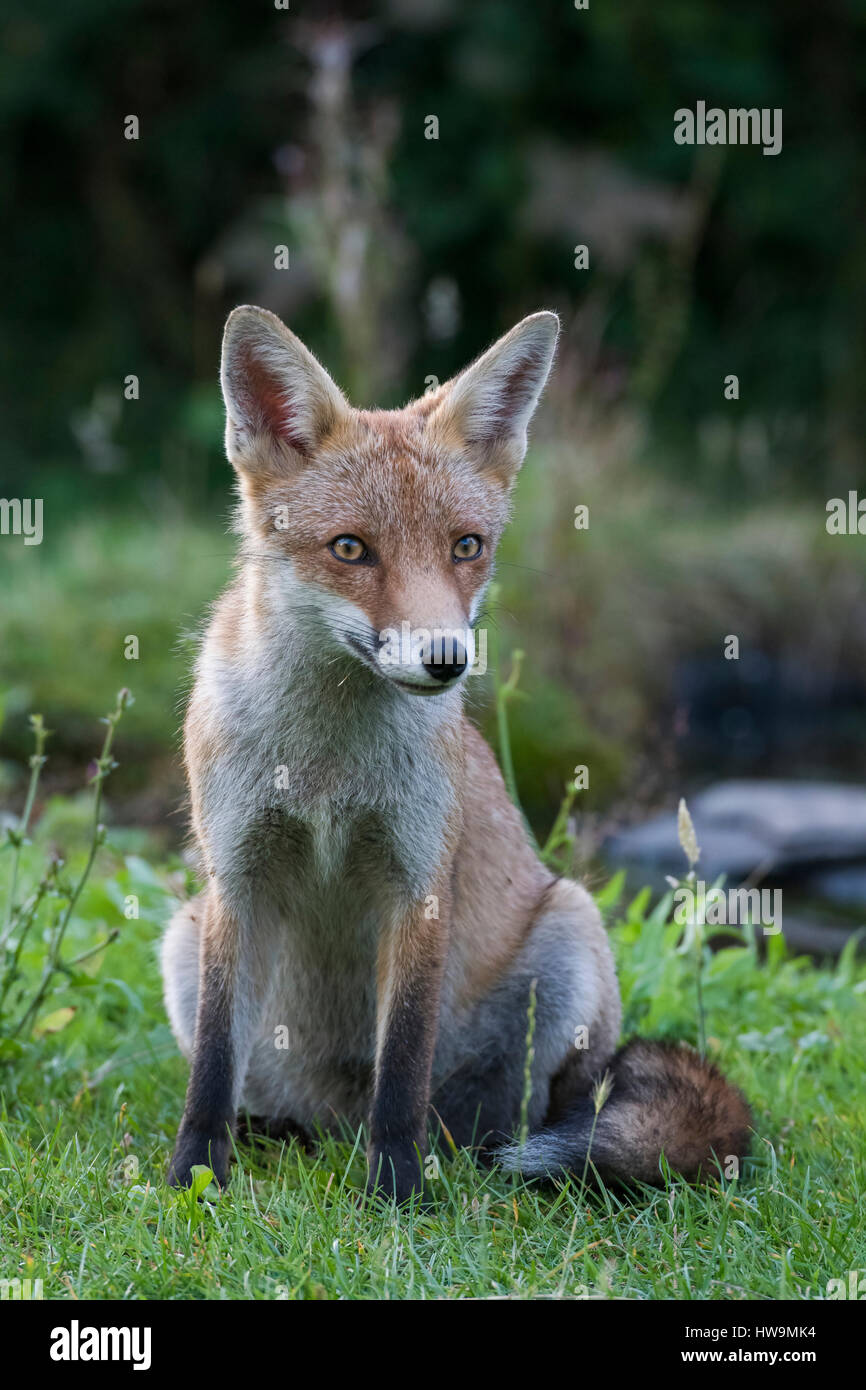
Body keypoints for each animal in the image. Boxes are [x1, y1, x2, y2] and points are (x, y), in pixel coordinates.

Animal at [161, 304, 751, 1201]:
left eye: (466, 547)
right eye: (350, 549)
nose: (446, 659)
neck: (326, 766)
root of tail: (334, 1121)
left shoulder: (416, 882)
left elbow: (402, 1064)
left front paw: (398, 1190)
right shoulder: (238, 877)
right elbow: (213, 1069)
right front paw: (194, 1175)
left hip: (571, 934)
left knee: (542, 1115)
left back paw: (491, 1156)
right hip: (181, 939)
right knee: (276, 1097)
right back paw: (277, 1133)